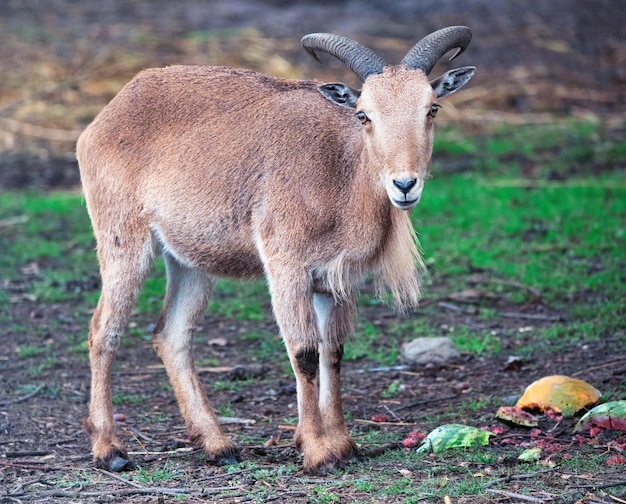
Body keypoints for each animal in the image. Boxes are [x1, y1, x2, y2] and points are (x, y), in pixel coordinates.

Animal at [75, 25, 472, 472]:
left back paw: (218, 444)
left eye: (432, 108)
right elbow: (304, 352)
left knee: (170, 334)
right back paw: (110, 449)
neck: (340, 174)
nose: (404, 185)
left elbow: (332, 352)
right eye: (363, 114)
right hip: (123, 239)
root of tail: (109, 113)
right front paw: (318, 451)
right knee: (103, 330)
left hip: (189, 259)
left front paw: (343, 444)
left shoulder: (333, 281)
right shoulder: (286, 266)